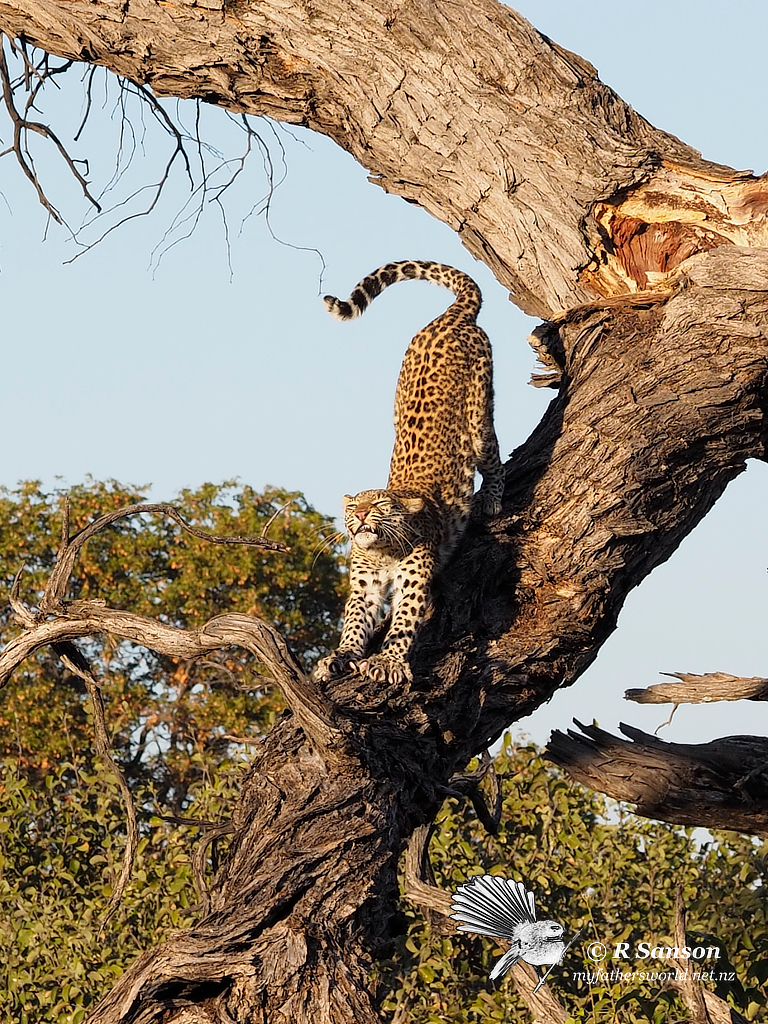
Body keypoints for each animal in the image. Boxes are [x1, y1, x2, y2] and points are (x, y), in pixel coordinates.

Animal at [313, 260, 505, 688]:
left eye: (381, 503)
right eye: (354, 506)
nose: (361, 514)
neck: (382, 551)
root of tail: (450, 316)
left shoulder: (413, 580)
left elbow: (402, 622)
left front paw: (387, 662)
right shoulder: (365, 588)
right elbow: (354, 623)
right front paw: (338, 656)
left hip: (478, 414)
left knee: (493, 453)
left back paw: (490, 498)